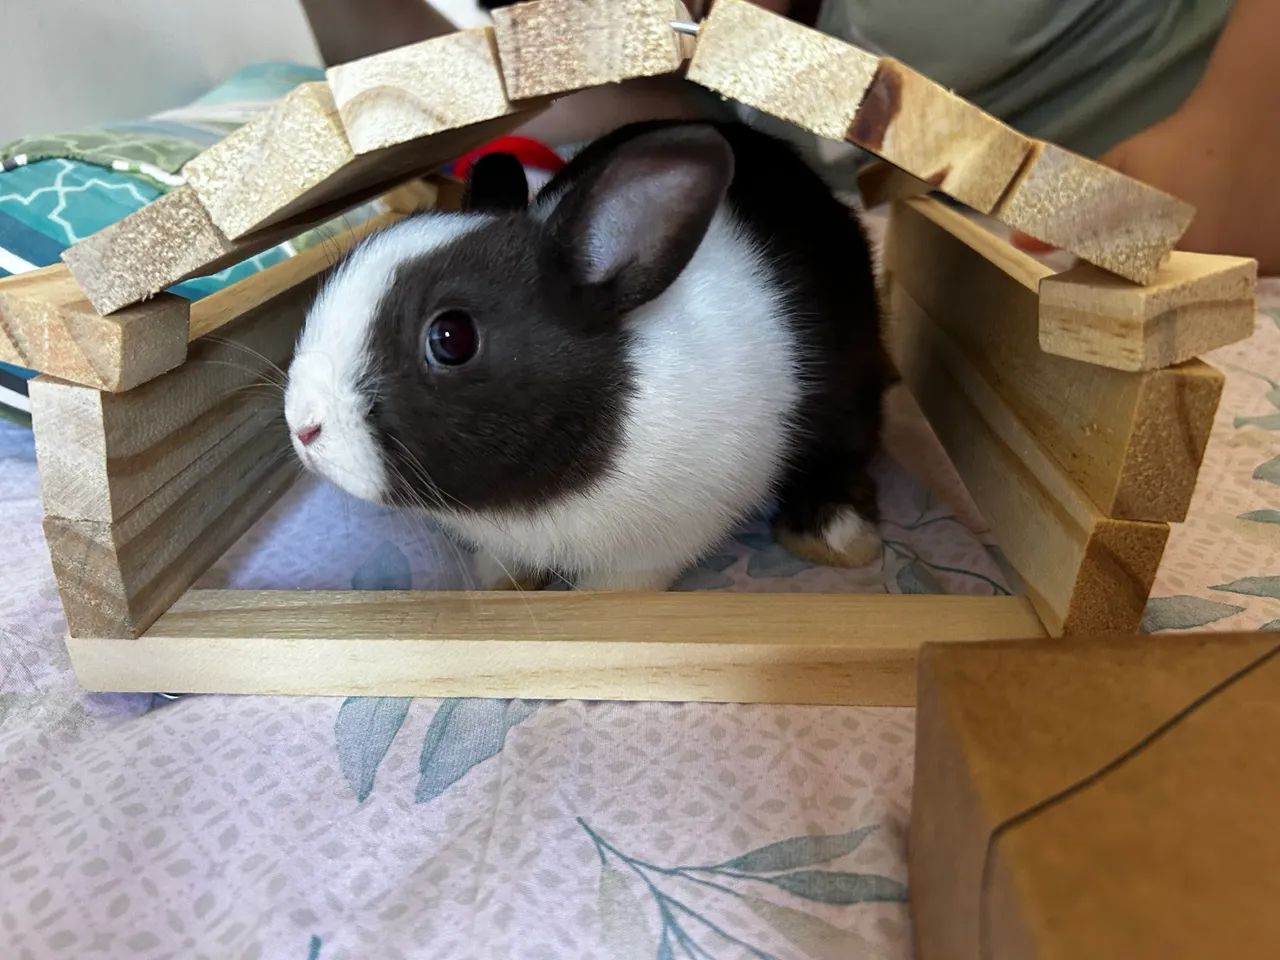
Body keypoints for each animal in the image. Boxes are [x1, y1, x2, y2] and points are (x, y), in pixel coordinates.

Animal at [284, 119, 889, 591]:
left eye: (451, 338)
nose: (302, 427)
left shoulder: (664, 541)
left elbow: (613, 590)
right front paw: (502, 581)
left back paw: (835, 534)